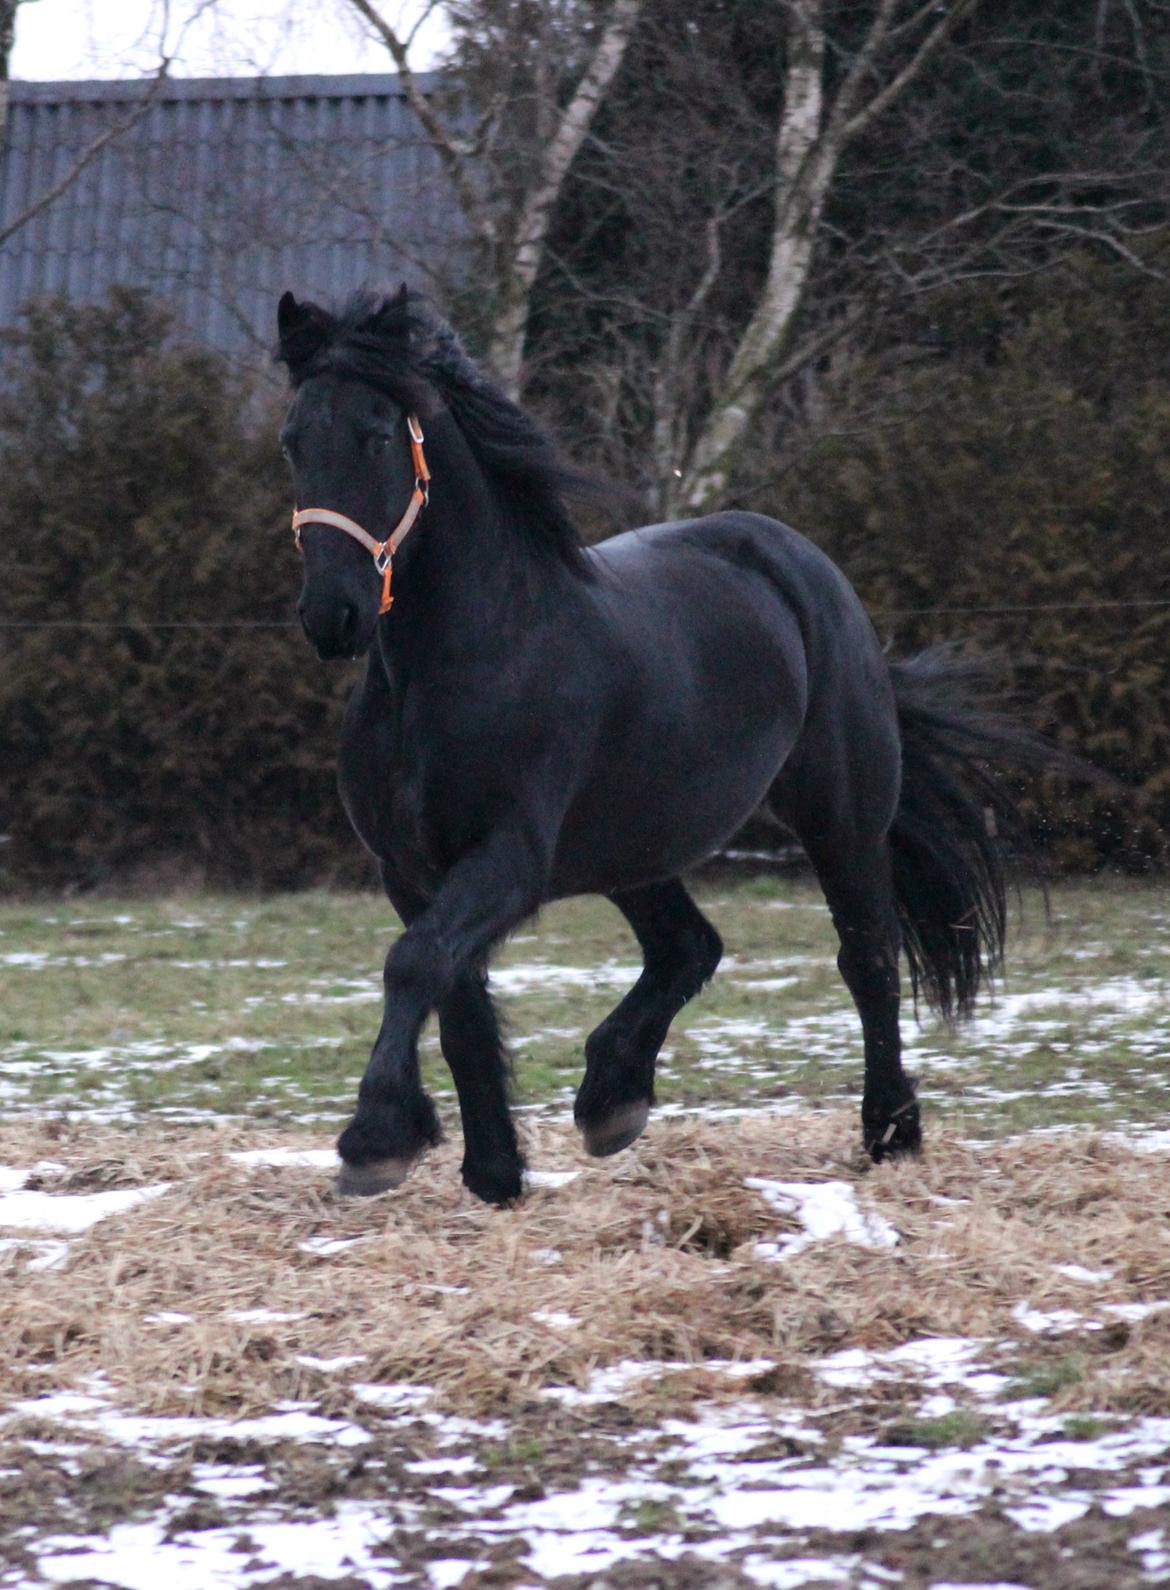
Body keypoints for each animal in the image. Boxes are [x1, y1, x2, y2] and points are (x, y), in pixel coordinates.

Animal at [281, 289, 1030, 1202]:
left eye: (377, 434)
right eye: (292, 441)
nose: (334, 616)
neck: (461, 660)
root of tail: (804, 565)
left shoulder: (509, 857)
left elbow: (414, 965)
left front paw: (376, 1138)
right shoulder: (411, 868)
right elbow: (454, 1000)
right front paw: (492, 1173)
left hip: (839, 818)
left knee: (867, 959)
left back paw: (890, 1130)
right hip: (632, 844)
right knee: (689, 945)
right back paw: (612, 1098)